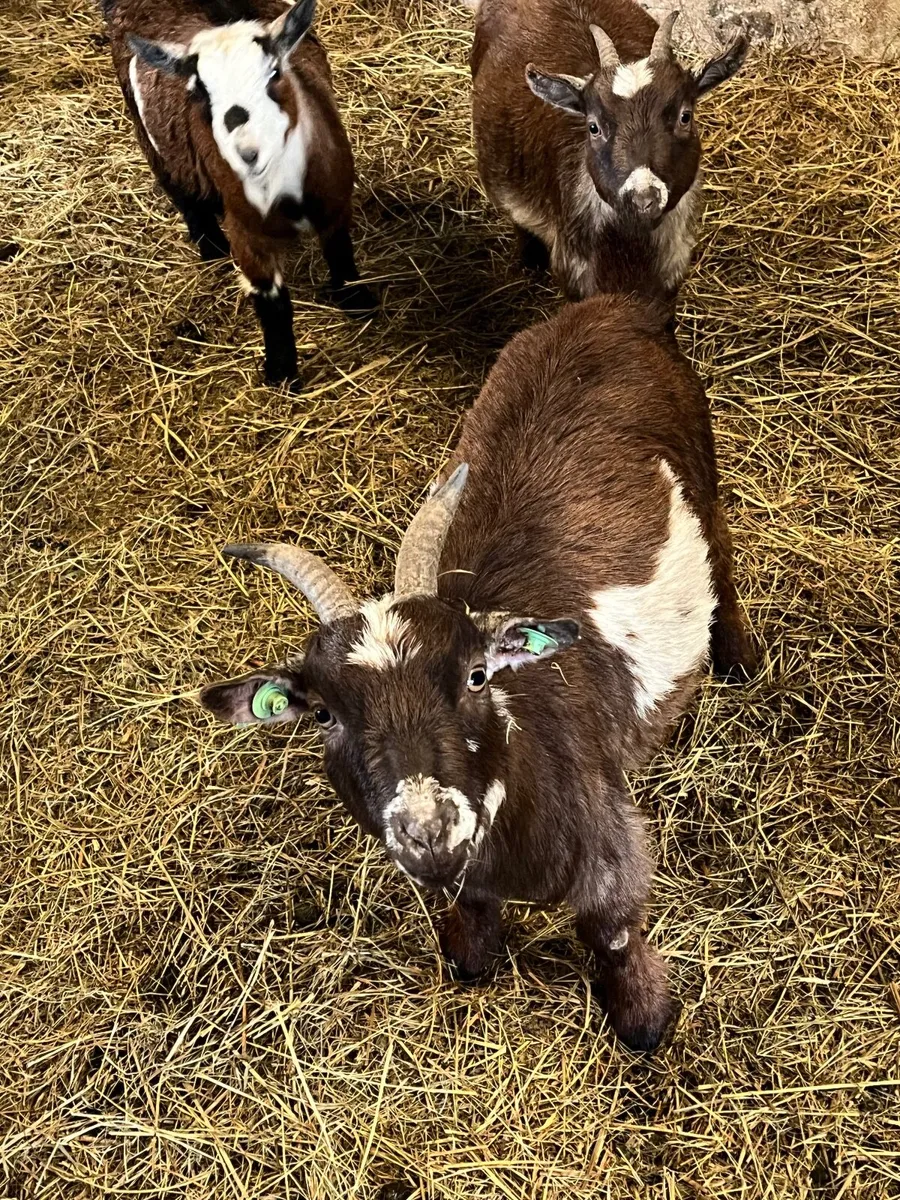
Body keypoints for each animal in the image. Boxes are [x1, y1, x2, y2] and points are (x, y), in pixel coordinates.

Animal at [103, 0, 376, 384]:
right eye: (199, 92)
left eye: (274, 73)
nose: (248, 151)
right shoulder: (246, 232)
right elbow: (272, 302)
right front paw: (281, 374)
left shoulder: (335, 202)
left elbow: (341, 254)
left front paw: (359, 303)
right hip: (152, 144)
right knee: (185, 197)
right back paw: (211, 249)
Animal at [199, 201, 755, 1052]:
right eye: (322, 713)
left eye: (475, 674)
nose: (427, 828)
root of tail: (612, 305)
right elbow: (467, 918)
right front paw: (471, 955)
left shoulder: (608, 842)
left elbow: (612, 931)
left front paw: (644, 1019)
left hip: (701, 458)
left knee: (721, 556)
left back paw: (741, 658)